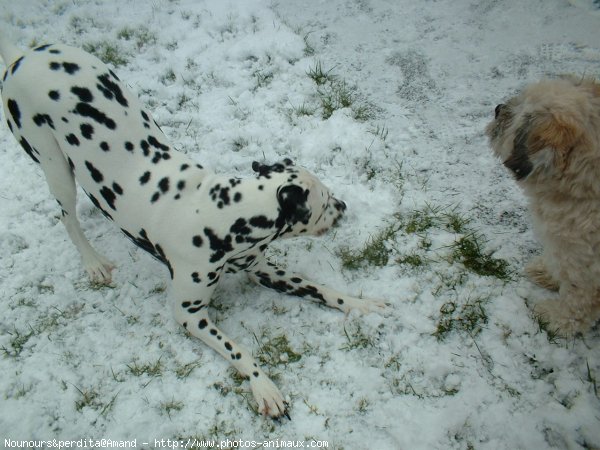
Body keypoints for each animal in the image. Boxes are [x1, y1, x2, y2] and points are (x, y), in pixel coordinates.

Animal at [0, 37, 384, 420]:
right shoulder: (189, 314)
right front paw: (263, 386)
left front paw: (359, 305)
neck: (219, 213)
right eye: (325, 201)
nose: (344, 207)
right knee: (67, 217)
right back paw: (93, 262)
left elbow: (321, 289)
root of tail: (23, 54)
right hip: (54, 166)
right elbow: (239, 349)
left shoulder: (264, 271)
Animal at [486, 76, 600, 334]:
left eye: (522, 118)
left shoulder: (586, 265)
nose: (497, 108)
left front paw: (555, 319)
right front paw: (546, 272)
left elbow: (578, 299)